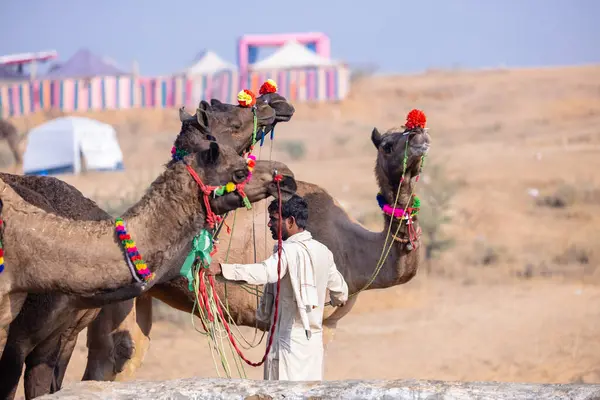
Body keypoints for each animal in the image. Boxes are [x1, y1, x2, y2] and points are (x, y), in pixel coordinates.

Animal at [85, 111, 432, 382]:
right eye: (388, 145)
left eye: (415, 131)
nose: (420, 137)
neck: (354, 250)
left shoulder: (328, 325)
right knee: (110, 358)